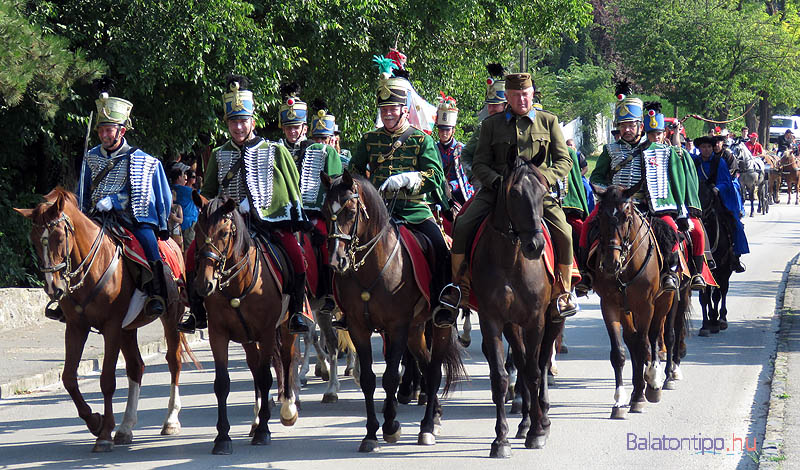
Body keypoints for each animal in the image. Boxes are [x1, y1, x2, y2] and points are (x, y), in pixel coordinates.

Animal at [14, 187, 193, 452]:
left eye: (59, 237)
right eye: (35, 240)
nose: (53, 288)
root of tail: (172, 241)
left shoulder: (111, 326)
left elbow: (107, 379)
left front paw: (104, 433)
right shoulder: (76, 327)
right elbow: (69, 378)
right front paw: (95, 422)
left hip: (171, 317)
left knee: (174, 361)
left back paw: (170, 420)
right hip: (129, 329)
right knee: (136, 366)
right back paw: (126, 427)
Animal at [192, 193, 298, 454]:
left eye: (223, 232)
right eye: (197, 231)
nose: (204, 284)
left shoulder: (268, 332)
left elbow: (267, 376)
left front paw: (264, 431)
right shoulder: (218, 334)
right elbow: (222, 383)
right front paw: (222, 437)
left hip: (285, 326)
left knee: (286, 358)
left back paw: (287, 408)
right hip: (248, 337)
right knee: (254, 366)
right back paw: (257, 418)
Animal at [320, 172, 466, 452]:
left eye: (350, 211)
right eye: (323, 212)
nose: (335, 261)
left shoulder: (396, 326)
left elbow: (389, 377)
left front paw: (390, 426)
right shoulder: (358, 328)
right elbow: (368, 379)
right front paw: (370, 434)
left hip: (436, 326)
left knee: (433, 370)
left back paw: (427, 427)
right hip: (415, 330)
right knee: (425, 362)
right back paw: (435, 413)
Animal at [472, 157, 564, 456]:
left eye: (543, 193)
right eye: (513, 194)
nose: (535, 245)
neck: (510, 259)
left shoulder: (536, 319)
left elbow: (535, 371)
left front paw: (537, 432)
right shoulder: (492, 320)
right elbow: (501, 376)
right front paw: (501, 439)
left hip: (553, 318)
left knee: (540, 362)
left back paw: (542, 418)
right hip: (513, 325)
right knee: (522, 364)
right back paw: (525, 421)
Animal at [588, 183, 676, 418]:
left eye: (626, 217)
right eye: (599, 217)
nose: (610, 263)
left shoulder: (646, 306)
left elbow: (645, 344)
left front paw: (642, 394)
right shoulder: (609, 305)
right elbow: (619, 352)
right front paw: (620, 400)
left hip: (665, 301)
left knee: (656, 337)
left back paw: (655, 381)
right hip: (627, 310)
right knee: (633, 340)